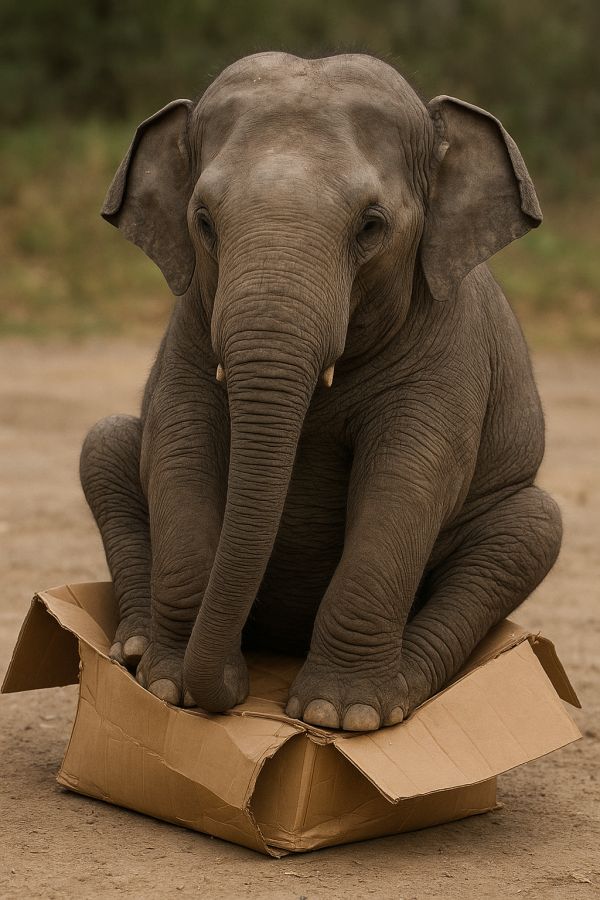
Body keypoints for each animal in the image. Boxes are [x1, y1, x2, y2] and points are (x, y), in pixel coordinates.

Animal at [80, 52, 562, 732]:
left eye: (371, 226)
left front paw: (341, 715)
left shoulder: (450, 350)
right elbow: (180, 447)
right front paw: (170, 688)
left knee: (532, 527)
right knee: (105, 443)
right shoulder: (189, 330)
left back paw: (407, 691)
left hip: (517, 519)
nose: (229, 690)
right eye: (203, 221)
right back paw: (133, 649)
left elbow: (409, 477)